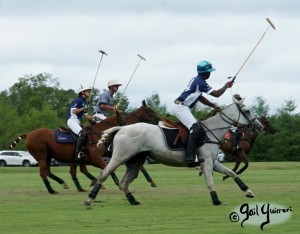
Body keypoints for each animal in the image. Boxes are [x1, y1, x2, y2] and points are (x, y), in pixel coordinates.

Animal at [7, 100, 162, 194]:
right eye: (150, 110)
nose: (160, 119)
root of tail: (29, 134)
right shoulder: (95, 158)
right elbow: (108, 169)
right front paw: (117, 183)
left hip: (50, 156)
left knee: (55, 171)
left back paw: (68, 184)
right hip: (41, 156)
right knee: (44, 172)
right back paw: (52, 190)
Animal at [84, 98, 262, 207]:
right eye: (247, 111)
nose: (259, 126)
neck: (211, 131)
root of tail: (121, 128)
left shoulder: (214, 161)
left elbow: (232, 173)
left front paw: (248, 191)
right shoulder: (206, 162)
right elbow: (210, 182)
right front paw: (216, 200)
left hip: (135, 161)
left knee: (123, 182)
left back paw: (133, 201)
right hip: (119, 156)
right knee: (105, 174)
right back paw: (89, 199)